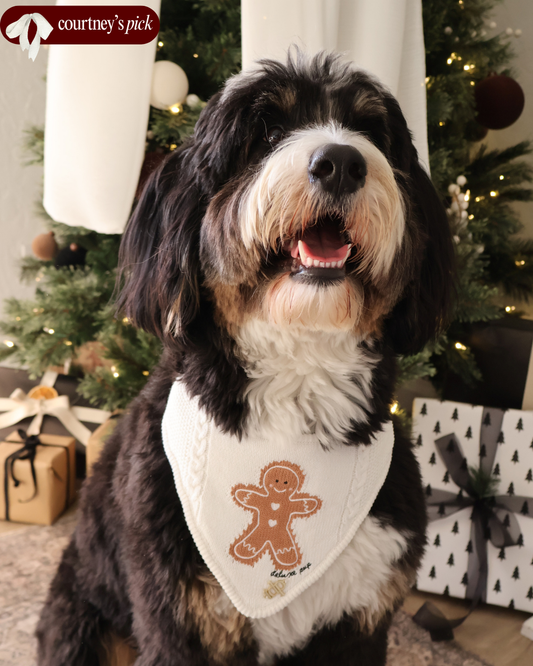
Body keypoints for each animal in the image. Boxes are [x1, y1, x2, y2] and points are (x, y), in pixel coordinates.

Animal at [37, 53, 454, 664]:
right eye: (266, 133)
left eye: (371, 132)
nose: (342, 162)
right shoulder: (179, 620)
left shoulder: (358, 620)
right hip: (85, 621)